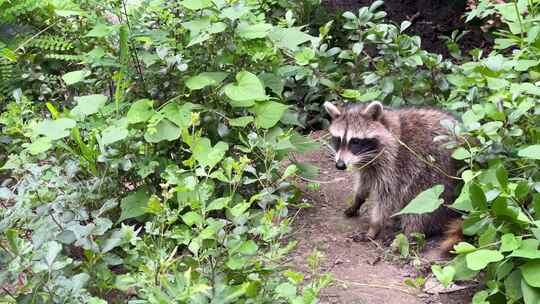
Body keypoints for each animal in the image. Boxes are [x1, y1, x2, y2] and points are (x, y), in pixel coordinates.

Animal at [322, 101, 462, 251]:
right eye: (337, 139)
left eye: (355, 141)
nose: (340, 165)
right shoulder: (368, 167)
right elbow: (363, 183)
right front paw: (357, 201)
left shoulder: (394, 166)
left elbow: (386, 198)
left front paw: (374, 227)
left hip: (436, 180)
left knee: (418, 204)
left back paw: (409, 233)